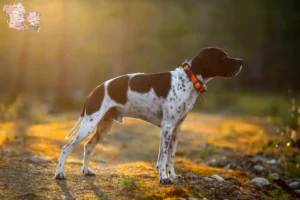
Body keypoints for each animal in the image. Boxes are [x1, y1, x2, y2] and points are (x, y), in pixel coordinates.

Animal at [55, 47, 243, 184]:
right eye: (223, 57)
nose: (241, 61)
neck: (189, 80)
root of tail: (95, 91)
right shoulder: (167, 126)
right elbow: (163, 156)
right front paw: (164, 178)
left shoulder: (176, 129)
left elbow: (170, 157)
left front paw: (172, 175)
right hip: (88, 125)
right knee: (66, 148)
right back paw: (60, 174)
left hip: (103, 127)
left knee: (88, 147)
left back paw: (86, 171)